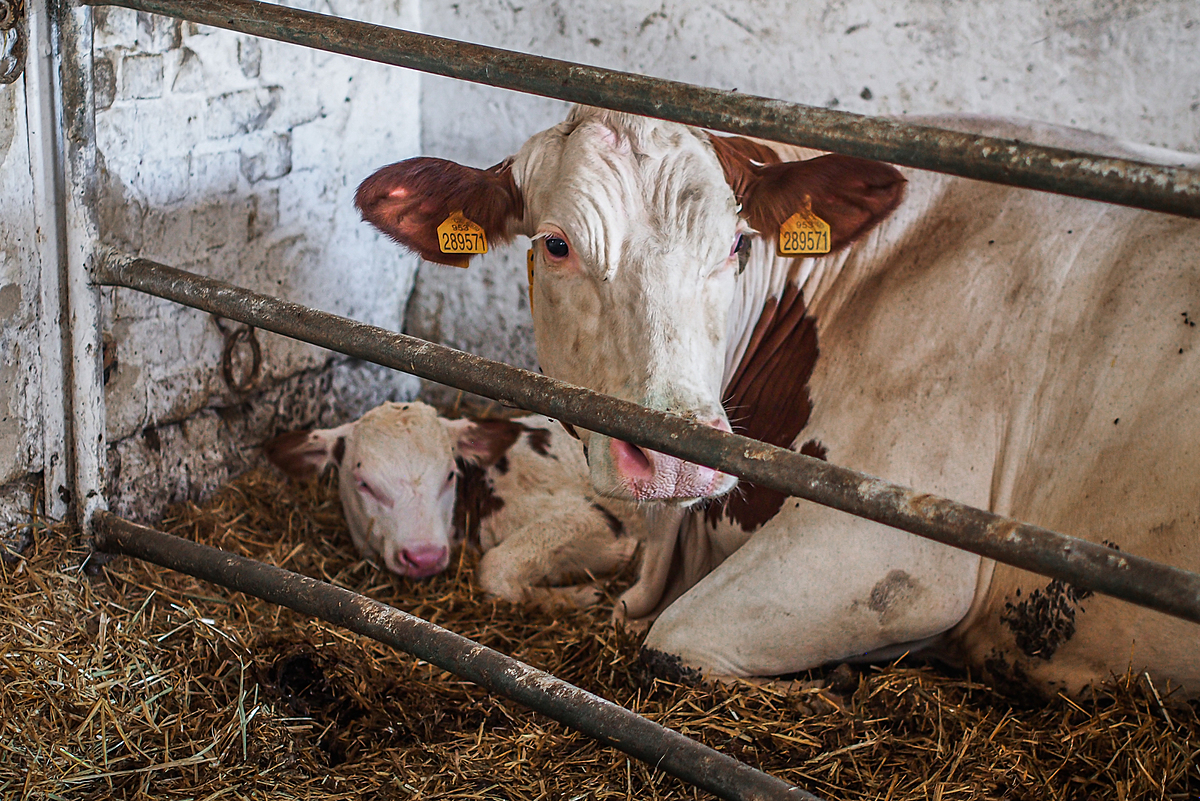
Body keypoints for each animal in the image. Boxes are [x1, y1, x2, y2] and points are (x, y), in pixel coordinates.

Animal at [264, 401, 642, 606]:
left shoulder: (599, 520)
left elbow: (494, 569)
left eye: (449, 475)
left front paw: (581, 595)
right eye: (364, 484)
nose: (425, 557)